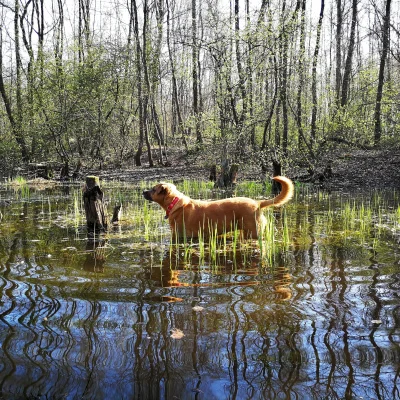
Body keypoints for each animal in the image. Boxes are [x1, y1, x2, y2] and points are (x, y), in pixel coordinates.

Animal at [144, 176, 294, 239]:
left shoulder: (180, 235)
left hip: (253, 231)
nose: (143, 191)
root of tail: (258, 203)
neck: (174, 203)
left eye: (153, 189)